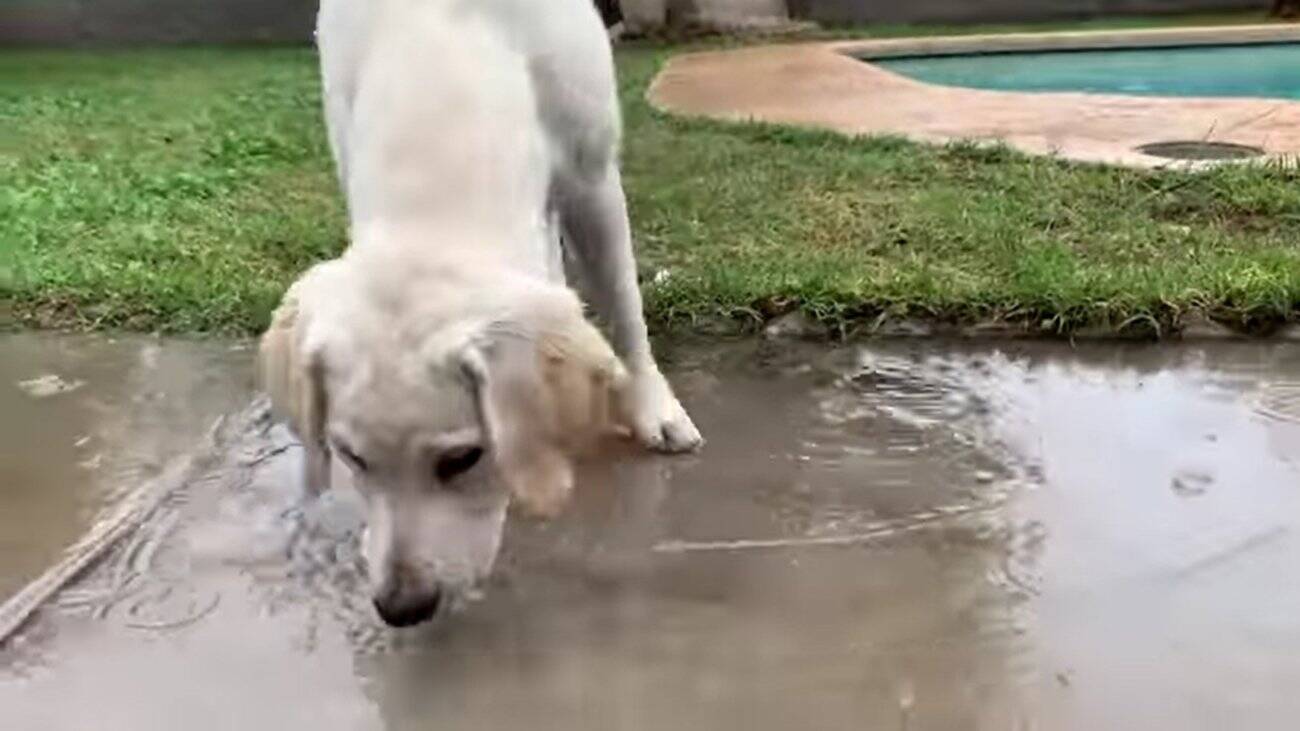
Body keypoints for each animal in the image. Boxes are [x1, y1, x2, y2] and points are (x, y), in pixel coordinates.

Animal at [256, 0, 702, 626]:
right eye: (352, 457)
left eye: (462, 459)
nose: (402, 608)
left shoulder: (591, 174)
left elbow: (625, 308)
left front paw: (654, 408)